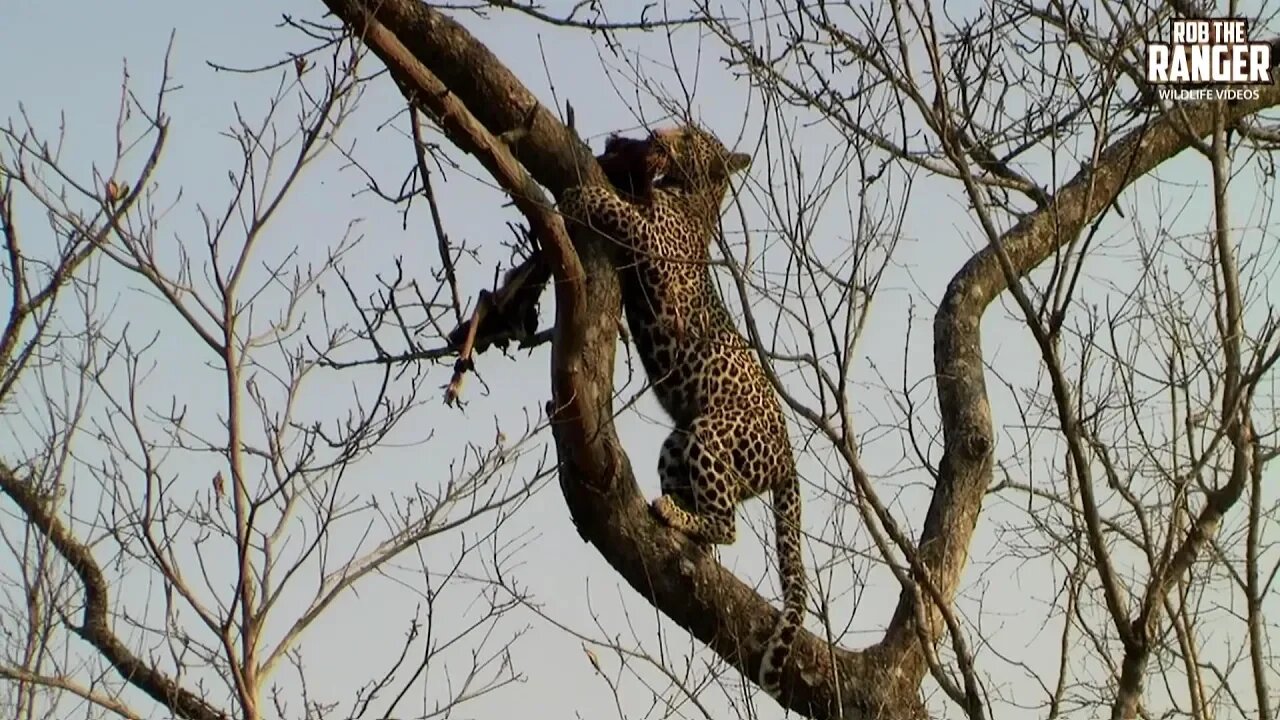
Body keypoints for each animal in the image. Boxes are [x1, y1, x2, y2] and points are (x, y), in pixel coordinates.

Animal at [558, 124, 803, 696]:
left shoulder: (657, 242)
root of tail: (788, 459)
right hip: (679, 441)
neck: (692, 197)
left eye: (691, 136)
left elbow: (622, 212)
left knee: (729, 524)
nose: (656, 135)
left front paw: (582, 196)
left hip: (715, 432)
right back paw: (676, 516)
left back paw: (680, 515)